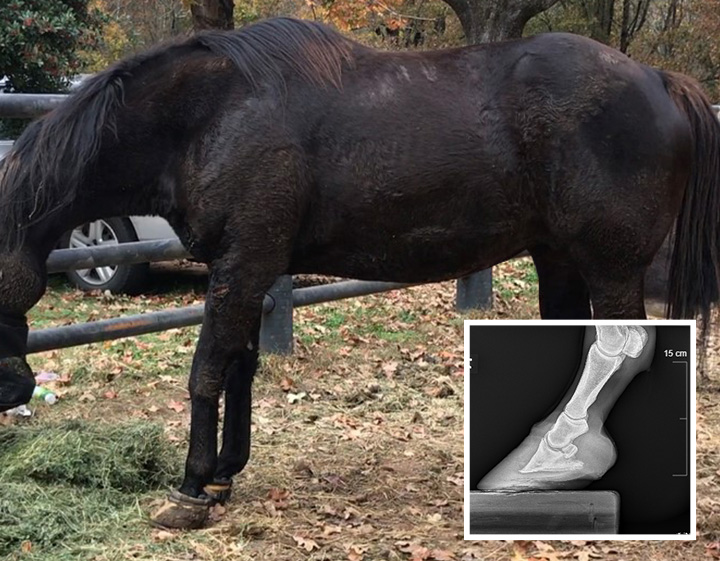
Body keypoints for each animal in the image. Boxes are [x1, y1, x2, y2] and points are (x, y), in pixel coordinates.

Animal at [0, 17, 718, 529]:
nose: (13, 390)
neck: (208, 115)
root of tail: (658, 78)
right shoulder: (250, 269)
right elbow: (239, 368)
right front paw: (226, 473)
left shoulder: (241, 264)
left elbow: (207, 369)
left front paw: (191, 488)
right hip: (561, 259)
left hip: (611, 268)